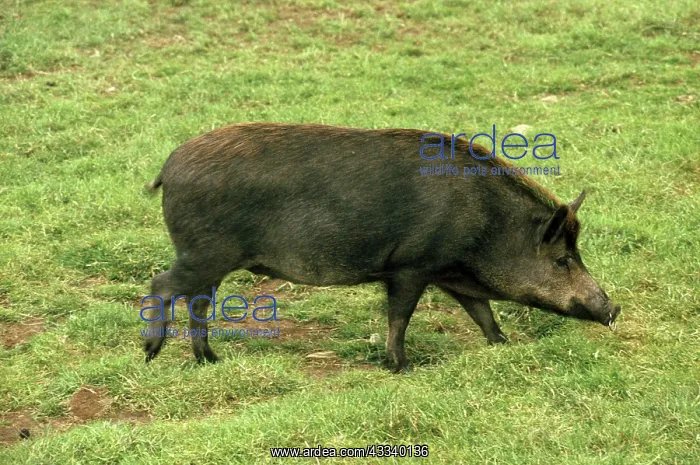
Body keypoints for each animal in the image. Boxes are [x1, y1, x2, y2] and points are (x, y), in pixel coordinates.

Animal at [143, 123, 620, 371]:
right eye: (562, 260)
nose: (614, 309)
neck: (486, 225)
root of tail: (168, 167)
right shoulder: (412, 266)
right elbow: (400, 316)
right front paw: (402, 366)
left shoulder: (452, 275)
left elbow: (483, 313)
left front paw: (503, 346)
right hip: (205, 253)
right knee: (161, 284)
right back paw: (152, 354)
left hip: (211, 261)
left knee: (198, 301)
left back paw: (210, 360)